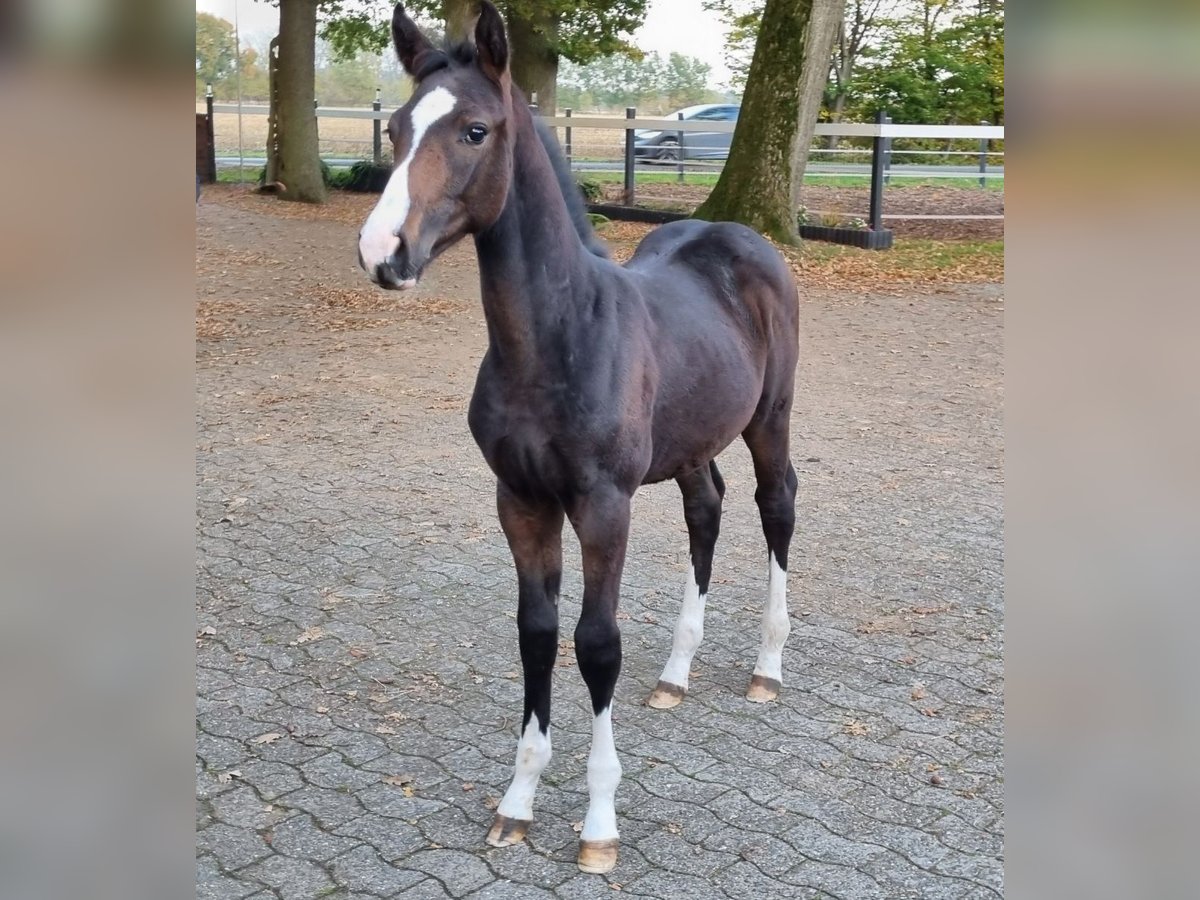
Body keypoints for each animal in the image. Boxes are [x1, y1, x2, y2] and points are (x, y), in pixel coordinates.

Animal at [360, 0, 801, 873]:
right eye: (394, 128)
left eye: (474, 130)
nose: (383, 252)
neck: (558, 338)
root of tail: (741, 236)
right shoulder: (521, 500)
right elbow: (536, 636)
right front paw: (518, 801)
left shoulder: (603, 504)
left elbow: (596, 644)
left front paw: (599, 823)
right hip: (692, 444)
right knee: (707, 508)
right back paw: (676, 672)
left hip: (769, 419)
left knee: (776, 507)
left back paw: (767, 665)